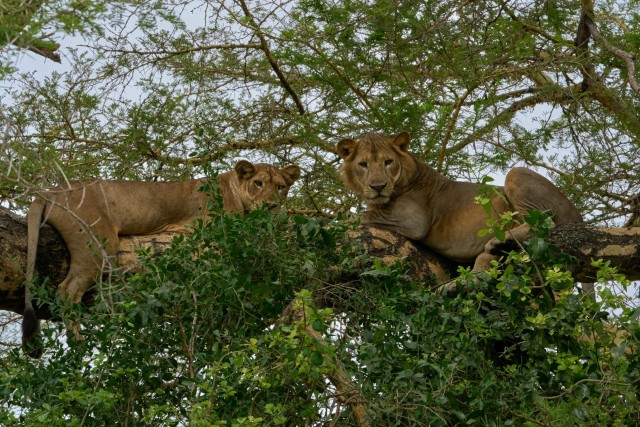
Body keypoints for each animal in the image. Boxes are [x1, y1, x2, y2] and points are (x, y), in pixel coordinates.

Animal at [21, 160, 298, 358]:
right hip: (98, 243)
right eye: (259, 183)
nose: (272, 206)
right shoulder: (211, 227)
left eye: (280, 187)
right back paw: (78, 342)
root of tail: (49, 191)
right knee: (67, 290)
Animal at [338, 131, 588, 288]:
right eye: (363, 165)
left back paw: (501, 240)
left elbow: (362, 215)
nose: (378, 186)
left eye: (388, 162)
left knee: (545, 223)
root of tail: (579, 217)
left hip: (517, 173)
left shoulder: (414, 220)